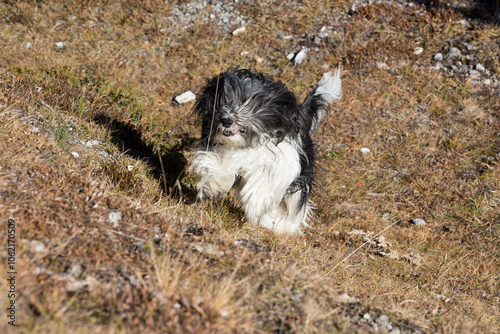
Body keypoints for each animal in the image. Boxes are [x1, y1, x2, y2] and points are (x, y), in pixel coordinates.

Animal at [190, 67, 340, 235]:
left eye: (246, 100)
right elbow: (219, 167)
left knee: (295, 205)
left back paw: (283, 225)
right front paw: (214, 186)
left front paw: (256, 206)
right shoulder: (221, 150)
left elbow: (263, 181)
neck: (248, 142)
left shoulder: (282, 161)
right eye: (222, 100)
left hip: (301, 180)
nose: (226, 120)